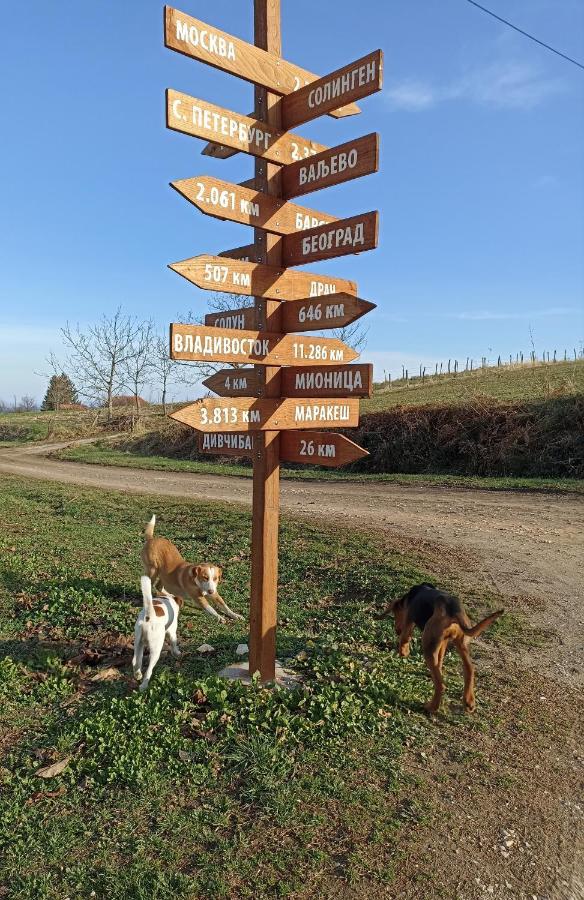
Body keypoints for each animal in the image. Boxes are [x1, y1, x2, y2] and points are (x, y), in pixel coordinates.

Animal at [376, 584, 504, 716]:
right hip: (460, 643)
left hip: (428, 644)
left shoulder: (409, 622)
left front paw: (403, 653)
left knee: (441, 685)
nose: (397, 631)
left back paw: (431, 707)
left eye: (395, 614)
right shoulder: (443, 642)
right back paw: (469, 702)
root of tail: (453, 610)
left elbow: (404, 640)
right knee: (469, 669)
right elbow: (439, 660)